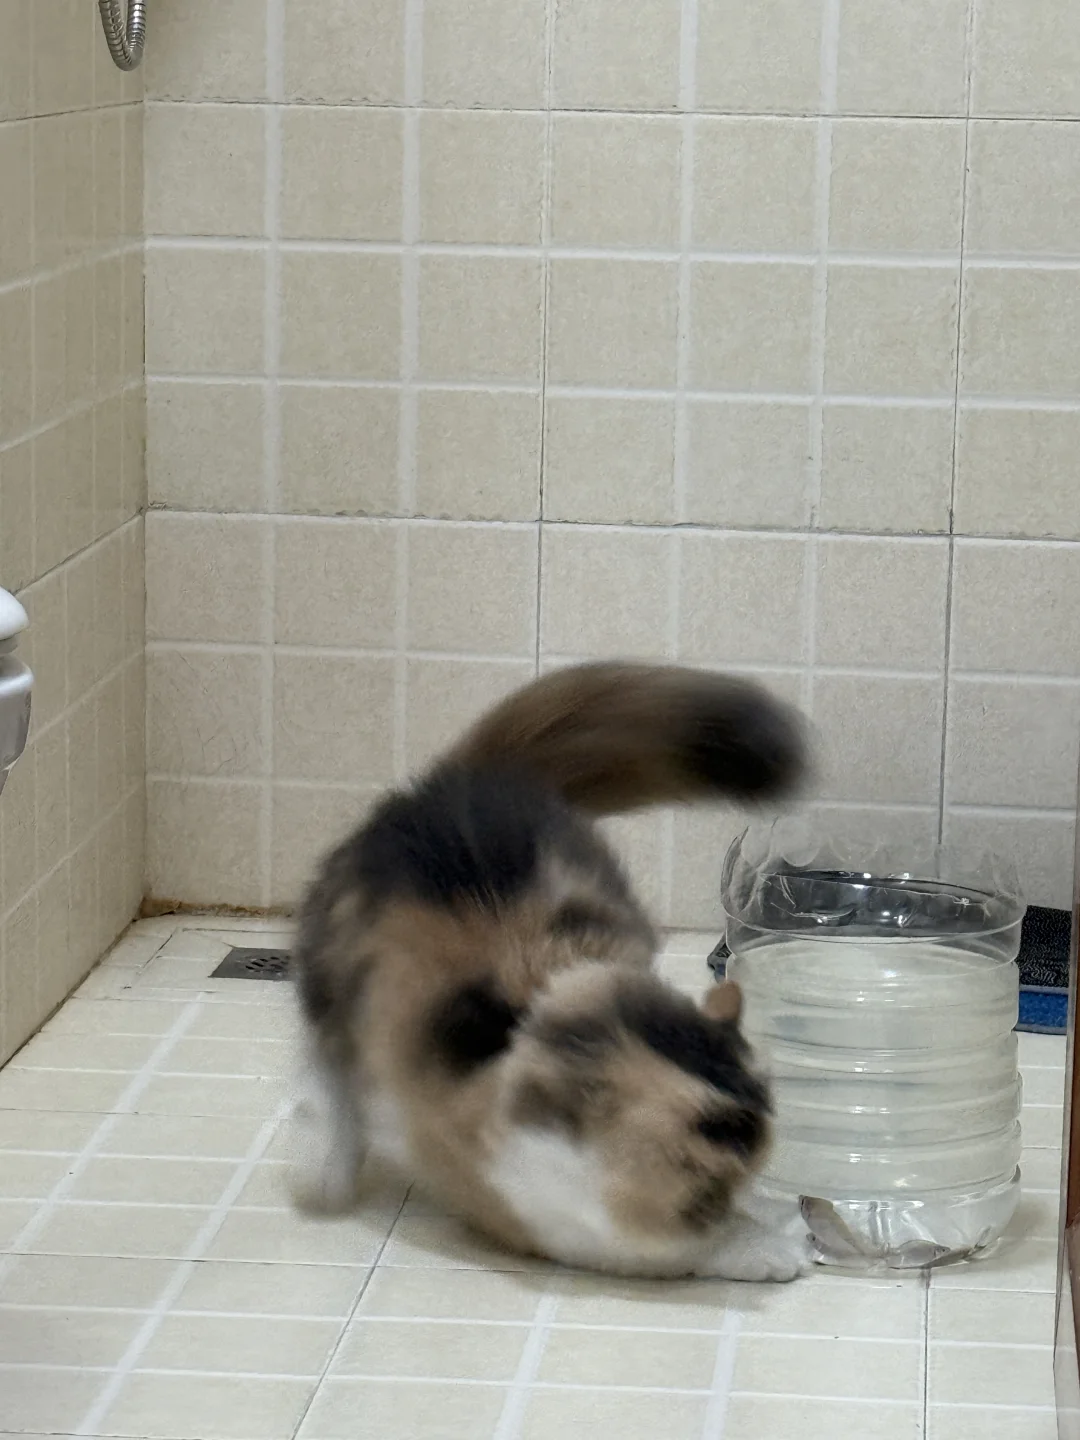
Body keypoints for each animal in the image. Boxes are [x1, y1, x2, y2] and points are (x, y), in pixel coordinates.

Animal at [289, 662, 811, 1281]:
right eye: (706, 1155)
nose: (746, 1157)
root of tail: (460, 778)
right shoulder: (541, 1215)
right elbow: (682, 1247)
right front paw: (769, 1243)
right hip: (330, 978)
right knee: (327, 1068)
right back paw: (327, 1167)